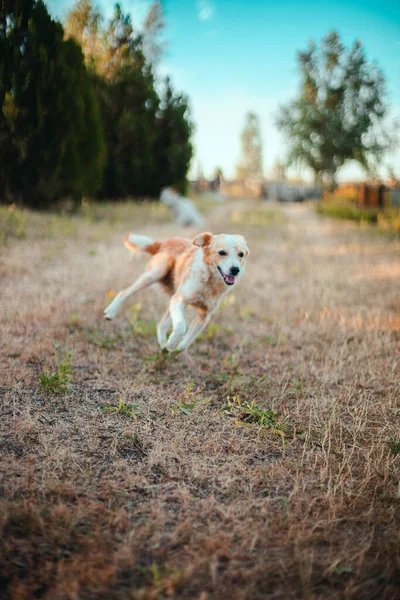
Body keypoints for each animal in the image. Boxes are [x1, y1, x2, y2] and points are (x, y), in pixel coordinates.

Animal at [104, 230, 252, 352]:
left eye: (241, 254)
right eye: (222, 253)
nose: (235, 270)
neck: (209, 281)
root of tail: (164, 242)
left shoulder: (204, 315)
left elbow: (185, 343)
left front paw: (173, 347)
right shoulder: (180, 299)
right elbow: (181, 327)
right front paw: (172, 342)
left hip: (172, 296)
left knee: (161, 324)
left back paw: (163, 345)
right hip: (156, 273)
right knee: (124, 292)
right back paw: (110, 312)